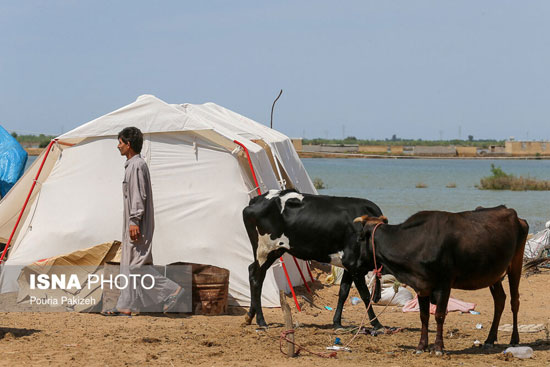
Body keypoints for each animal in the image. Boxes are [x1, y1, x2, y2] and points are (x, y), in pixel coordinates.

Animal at [244, 188, 386, 330]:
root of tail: (258, 199)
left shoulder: (349, 266)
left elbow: (343, 292)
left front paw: (337, 322)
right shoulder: (354, 264)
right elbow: (365, 295)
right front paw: (377, 323)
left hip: (273, 251)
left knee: (253, 272)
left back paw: (249, 316)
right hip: (265, 250)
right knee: (256, 278)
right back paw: (261, 320)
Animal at [356, 206, 528, 356]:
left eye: (360, 237)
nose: (354, 263)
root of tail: (512, 213)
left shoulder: (444, 284)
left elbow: (439, 315)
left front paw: (438, 347)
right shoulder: (422, 286)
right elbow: (424, 316)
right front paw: (421, 346)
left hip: (516, 263)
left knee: (514, 301)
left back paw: (514, 339)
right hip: (494, 274)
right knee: (500, 300)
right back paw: (490, 340)